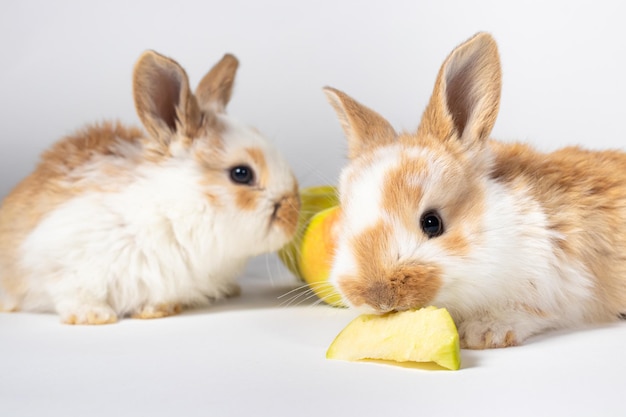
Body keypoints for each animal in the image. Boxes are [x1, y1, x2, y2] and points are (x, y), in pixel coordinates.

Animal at [0, 49, 300, 322]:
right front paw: (94, 316)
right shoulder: (58, 258)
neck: (174, 210)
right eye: (241, 174)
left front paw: (156, 310)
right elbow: (72, 291)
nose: (294, 214)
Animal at [324, 32, 624, 350]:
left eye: (432, 223)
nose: (378, 297)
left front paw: (484, 333)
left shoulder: (560, 283)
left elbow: (530, 311)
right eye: (345, 224)